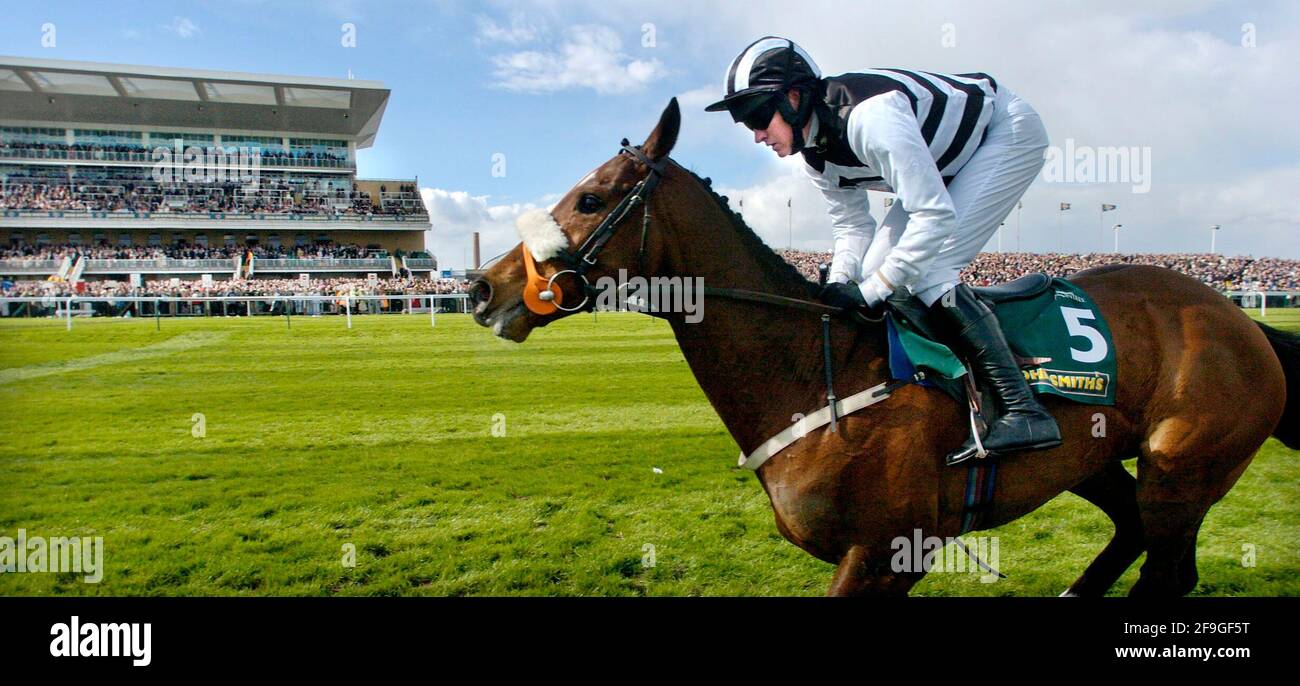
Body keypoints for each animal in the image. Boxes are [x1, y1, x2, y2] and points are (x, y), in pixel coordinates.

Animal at [467, 99, 1300, 597]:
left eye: (591, 198)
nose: (480, 287)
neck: (814, 371)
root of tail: (1238, 318)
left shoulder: (889, 548)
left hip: (1183, 470)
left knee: (1169, 571)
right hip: (1094, 457)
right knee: (1130, 532)